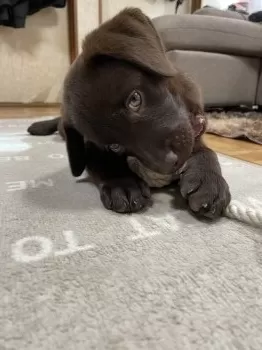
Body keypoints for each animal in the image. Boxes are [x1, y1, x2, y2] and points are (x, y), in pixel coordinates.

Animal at [27, 6, 230, 217]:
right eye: (115, 146)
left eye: (134, 99)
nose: (169, 164)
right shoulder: (90, 147)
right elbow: (103, 161)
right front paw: (123, 185)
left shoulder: (193, 134)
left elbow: (207, 152)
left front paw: (209, 181)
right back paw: (39, 126)